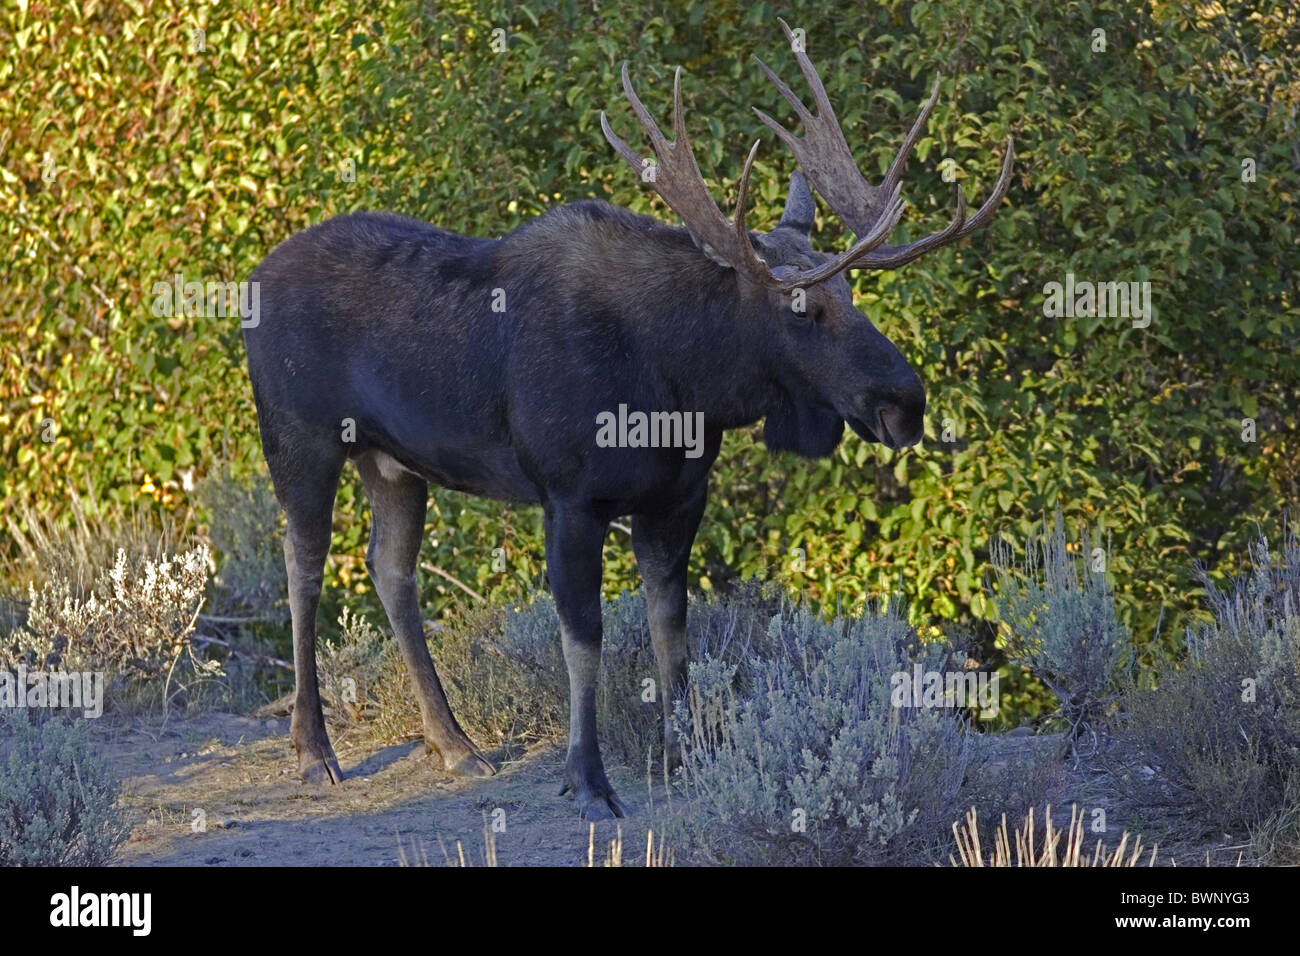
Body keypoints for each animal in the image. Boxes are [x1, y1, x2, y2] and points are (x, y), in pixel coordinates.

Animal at [244, 18, 1013, 816]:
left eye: (854, 293)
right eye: (800, 306)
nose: (905, 402)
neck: (682, 385)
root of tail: (249, 281)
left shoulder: (677, 497)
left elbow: (672, 629)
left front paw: (688, 753)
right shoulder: (570, 498)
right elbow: (585, 638)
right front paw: (588, 778)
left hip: (394, 463)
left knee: (390, 569)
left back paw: (454, 744)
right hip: (300, 440)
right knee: (302, 567)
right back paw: (314, 750)